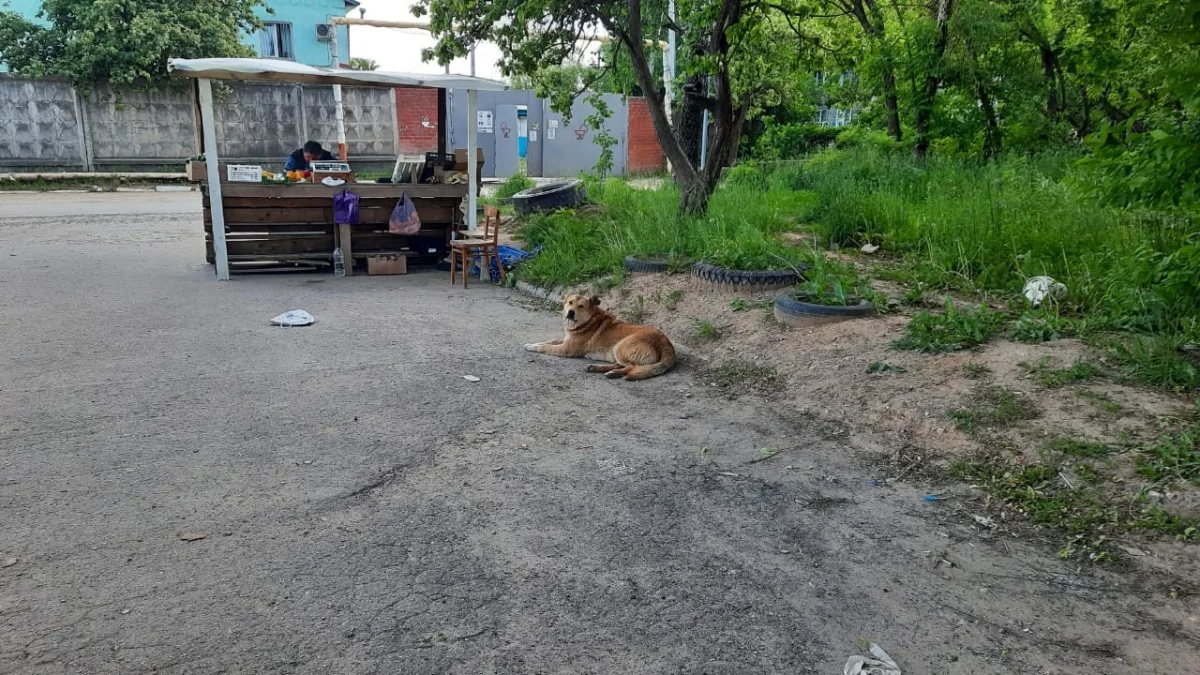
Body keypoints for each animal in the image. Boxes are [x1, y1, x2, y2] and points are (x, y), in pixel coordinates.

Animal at [524, 294, 677, 380]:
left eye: (581, 306)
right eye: (570, 303)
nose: (570, 312)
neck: (588, 321)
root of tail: (666, 343)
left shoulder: (566, 349)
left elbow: (546, 347)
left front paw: (533, 347)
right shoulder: (566, 340)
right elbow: (550, 340)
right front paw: (533, 343)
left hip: (620, 347)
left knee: (632, 367)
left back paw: (613, 373)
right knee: (622, 364)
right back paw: (597, 368)